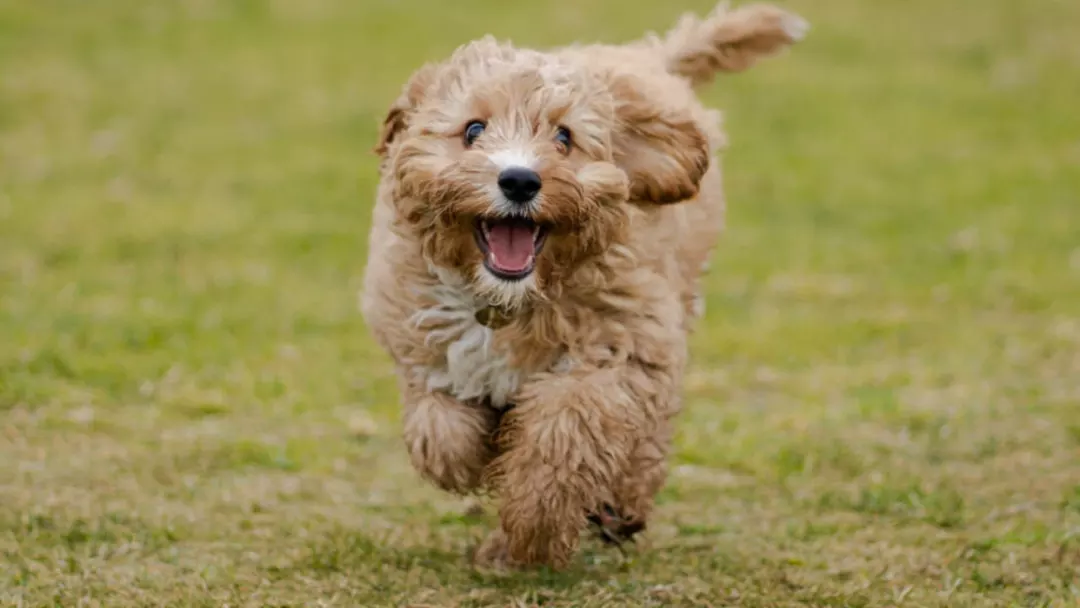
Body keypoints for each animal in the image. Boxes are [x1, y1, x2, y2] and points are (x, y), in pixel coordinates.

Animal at [358, 1, 807, 570]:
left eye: (564, 137)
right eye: (473, 129)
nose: (519, 180)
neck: (506, 301)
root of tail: (646, 57)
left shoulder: (619, 349)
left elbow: (563, 434)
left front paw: (533, 530)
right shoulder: (419, 335)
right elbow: (440, 428)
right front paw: (474, 456)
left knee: (647, 435)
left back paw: (619, 506)